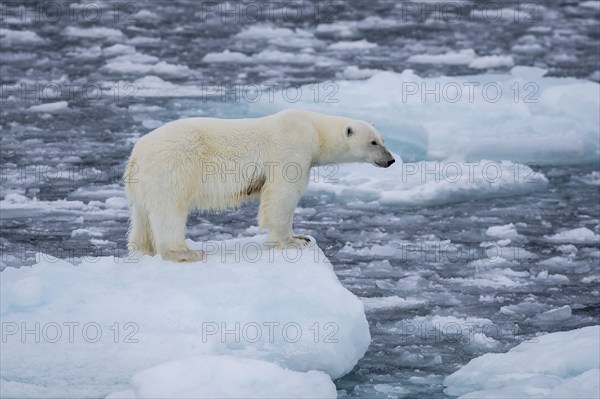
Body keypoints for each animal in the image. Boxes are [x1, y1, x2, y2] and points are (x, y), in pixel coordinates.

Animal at [123, 109, 394, 262]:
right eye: (373, 142)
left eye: (383, 139)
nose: (390, 160)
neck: (313, 129)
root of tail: (136, 153)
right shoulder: (291, 148)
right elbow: (282, 195)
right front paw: (290, 242)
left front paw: (302, 236)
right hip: (174, 166)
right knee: (170, 210)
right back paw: (184, 252)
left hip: (143, 181)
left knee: (142, 215)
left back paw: (144, 249)